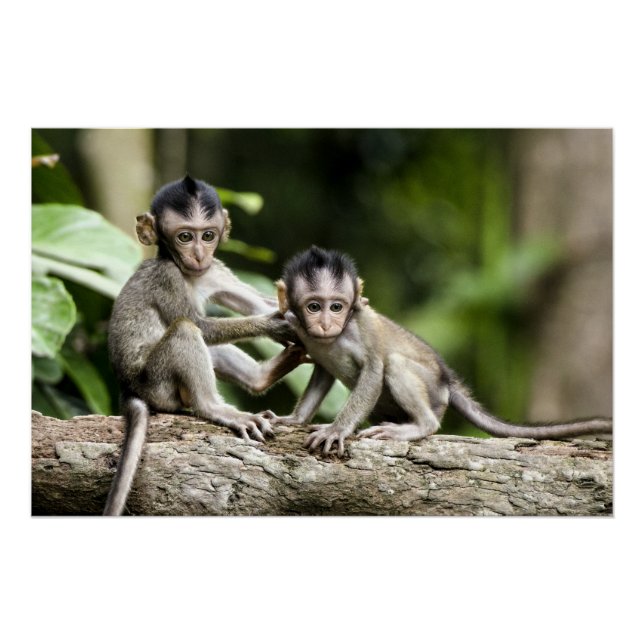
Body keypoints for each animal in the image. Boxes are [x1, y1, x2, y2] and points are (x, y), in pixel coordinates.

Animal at [103, 175, 303, 515]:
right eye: (184, 236)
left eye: (207, 235)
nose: (198, 255)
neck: (188, 273)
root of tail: (128, 388)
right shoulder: (167, 277)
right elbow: (201, 325)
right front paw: (276, 324)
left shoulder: (214, 270)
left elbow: (254, 303)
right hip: (157, 383)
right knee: (187, 330)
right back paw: (214, 407)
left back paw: (264, 375)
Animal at [275, 246, 613, 457]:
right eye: (314, 307)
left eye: (337, 307)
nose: (326, 323)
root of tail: (447, 381)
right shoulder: (302, 331)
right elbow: (322, 373)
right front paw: (294, 419)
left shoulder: (362, 324)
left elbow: (374, 369)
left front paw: (337, 429)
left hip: (433, 392)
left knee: (395, 364)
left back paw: (419, 426)